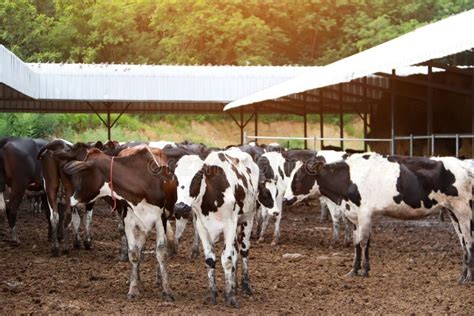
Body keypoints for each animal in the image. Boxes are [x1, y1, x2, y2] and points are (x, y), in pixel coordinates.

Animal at [173, 151, 258, 306]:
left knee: (243, 252)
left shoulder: (230, 225)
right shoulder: (201, 227)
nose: (181, 207)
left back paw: (245, 286)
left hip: (247, 220)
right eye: (175, 178)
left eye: (198, 176)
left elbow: (227, 259)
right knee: (235, 253)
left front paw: (230, 297)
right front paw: (213, 294)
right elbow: (210, 260)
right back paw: (234, 284)